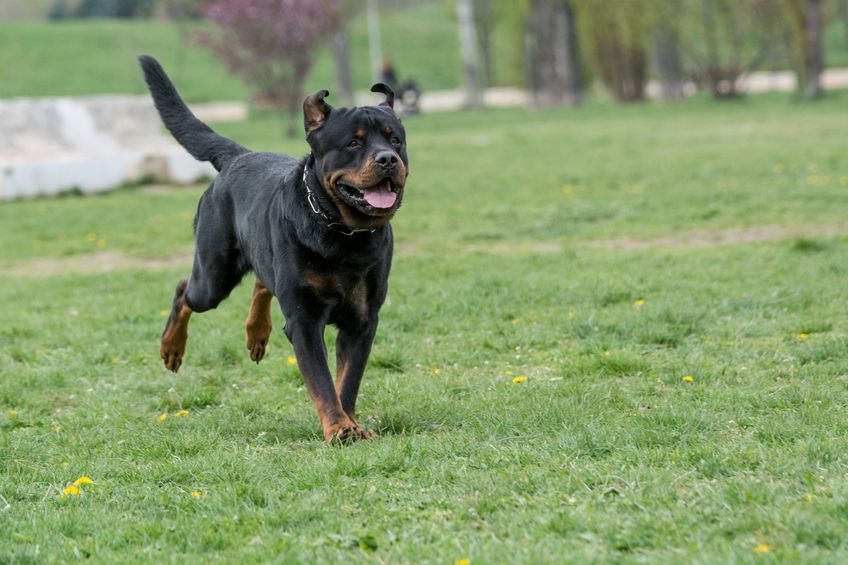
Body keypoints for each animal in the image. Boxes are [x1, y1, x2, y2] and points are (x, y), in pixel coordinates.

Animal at [140, 55, 410, 442]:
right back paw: (171, 347)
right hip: (214, 275)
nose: (388, 158)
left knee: (261, 281)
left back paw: (257, 332)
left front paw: (352, 424)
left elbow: (347, 381)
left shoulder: (362, 321)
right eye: (352, 144)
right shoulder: (304, 319)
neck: (344, 234)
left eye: (396, 140)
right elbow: (322, 381)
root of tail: (238, 156)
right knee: (185, 291)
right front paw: (339, 428)